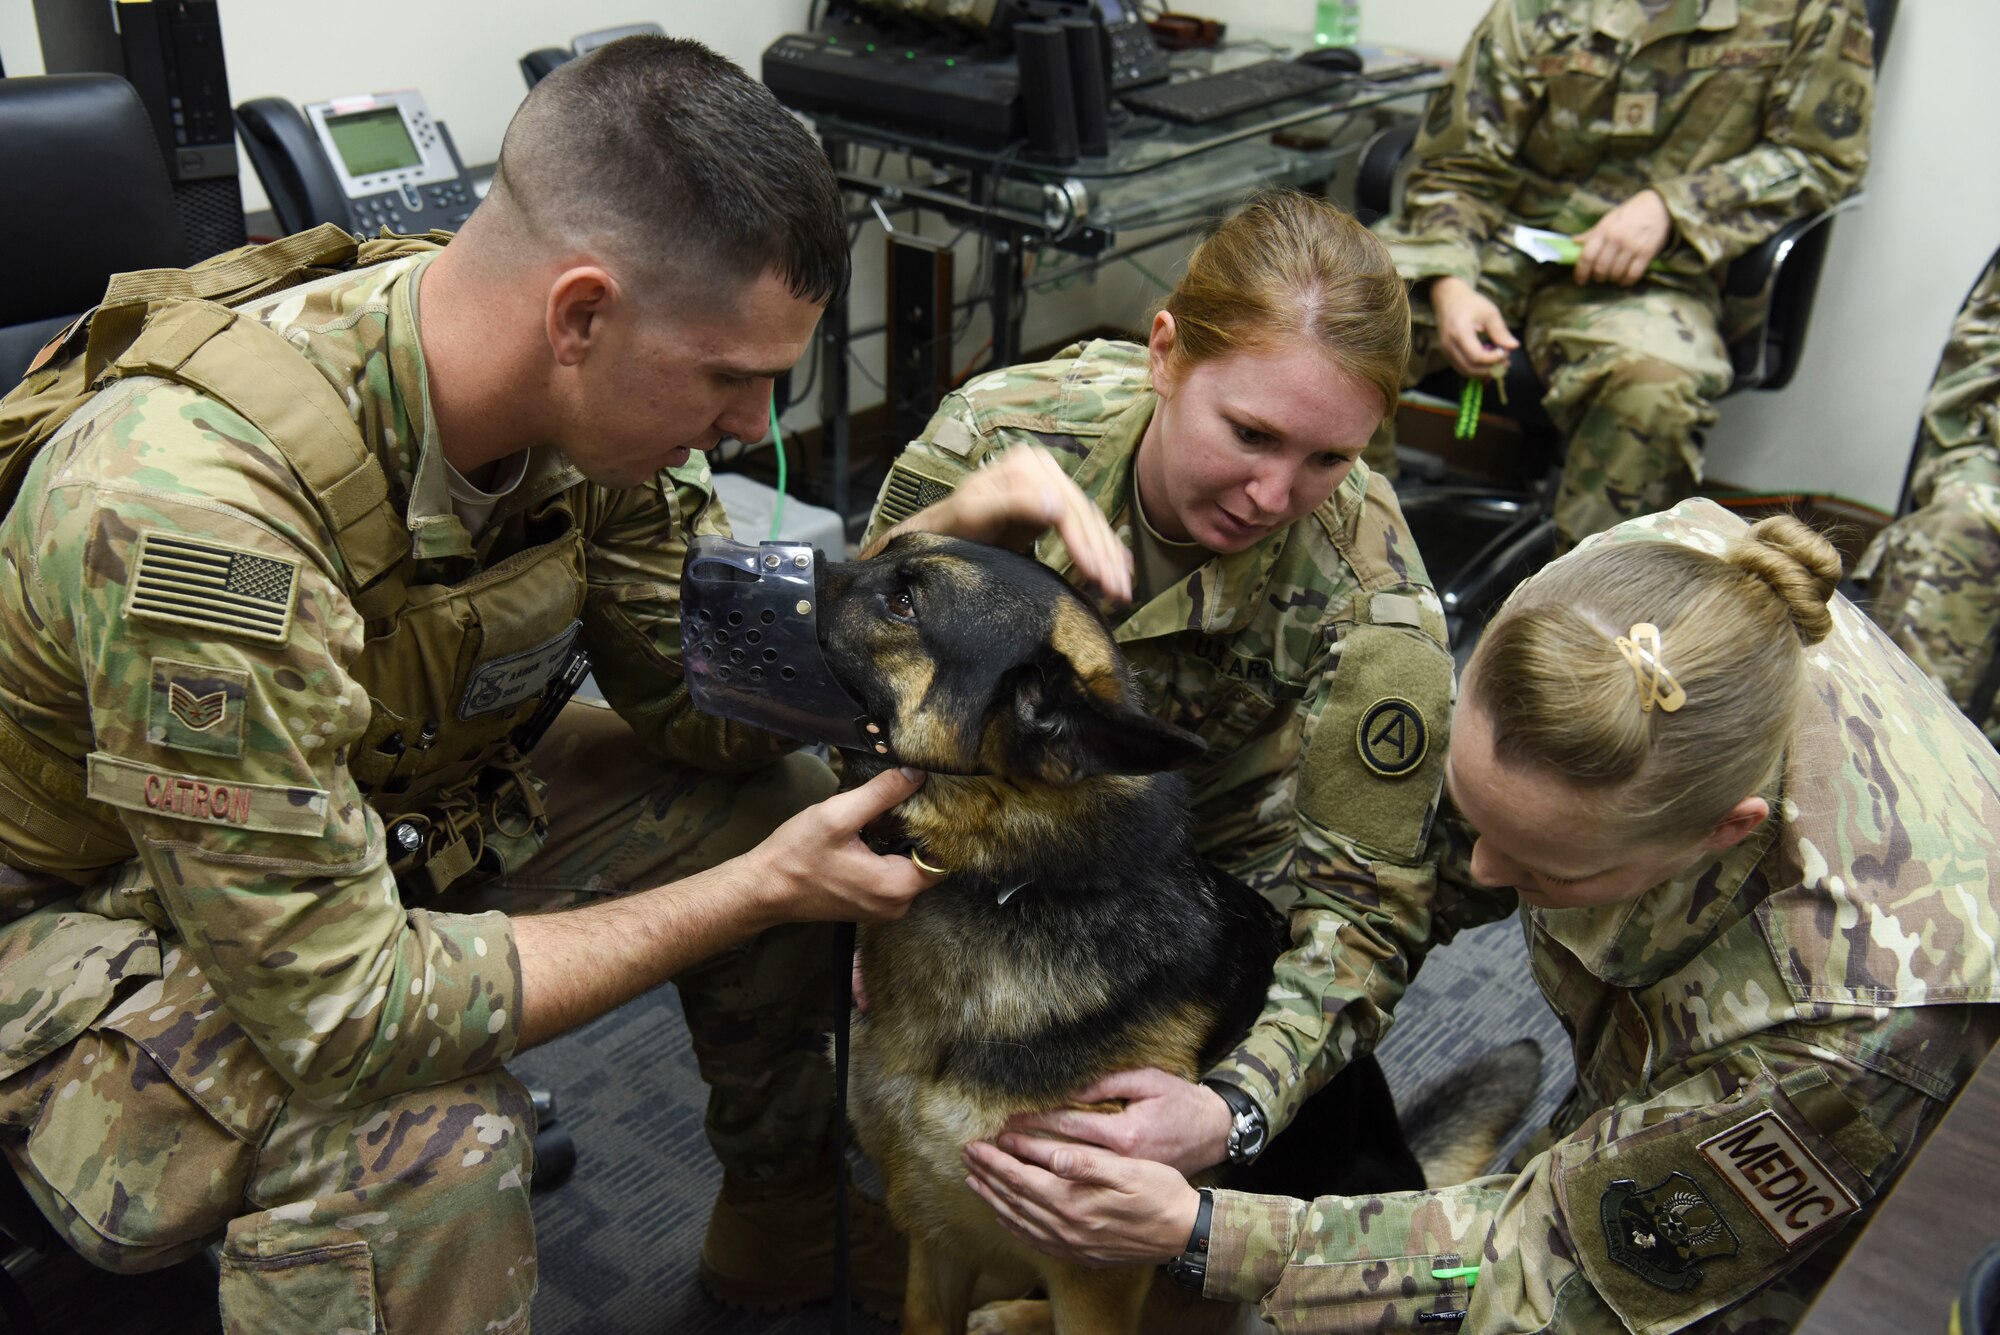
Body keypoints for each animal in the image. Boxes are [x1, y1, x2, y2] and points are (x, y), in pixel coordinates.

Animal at [812, 535, 1528, 1335]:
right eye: (881, 550)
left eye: (905, 602)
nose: (769, 559)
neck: (1016, 886)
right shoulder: (934, 1237)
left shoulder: (1094, 1273)